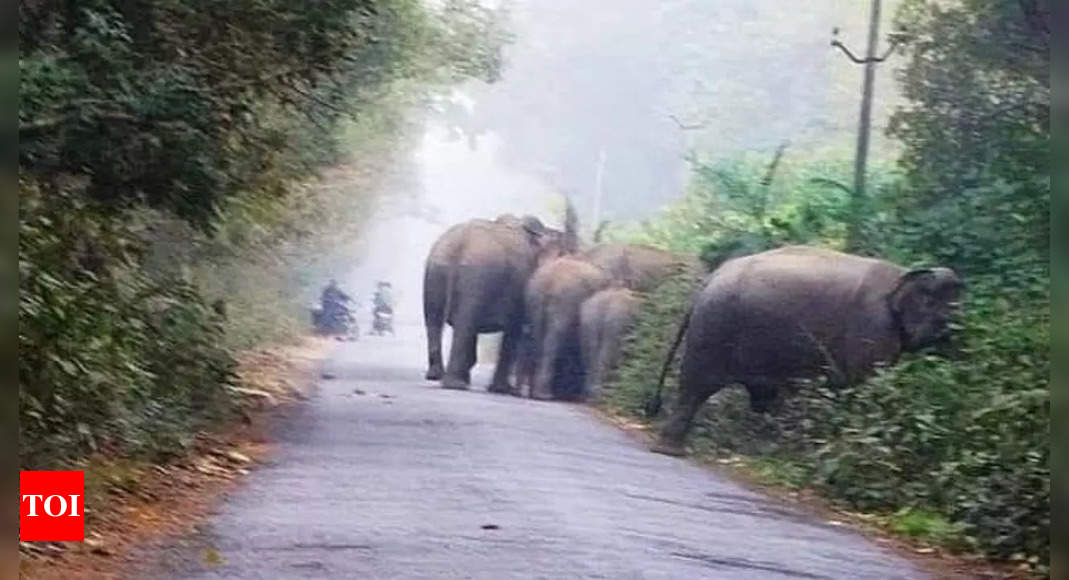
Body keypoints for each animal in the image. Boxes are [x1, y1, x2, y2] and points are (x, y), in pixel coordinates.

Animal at [423, 211, 577, 393]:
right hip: (477, 277)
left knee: (435, 321)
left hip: (436, 272)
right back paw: (456, 384)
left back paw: (437, 376)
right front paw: (502, 389)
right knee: (464, 324)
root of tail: (459, 245)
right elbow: (514, 330)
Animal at [523, 257, 611, 399]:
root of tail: (548, 281)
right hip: (565, 300)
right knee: (554, 340)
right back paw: (545, 395)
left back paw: (537, 393)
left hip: (534, 300)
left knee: (539, 338)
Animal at [645, 245, 966, 459]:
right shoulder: (872, 327)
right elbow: (866, 386)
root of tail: (710, 279)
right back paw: (670, 450)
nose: (952, 338)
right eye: (941, 313)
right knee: (696, 386)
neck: (904, 274)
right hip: (714, 329)